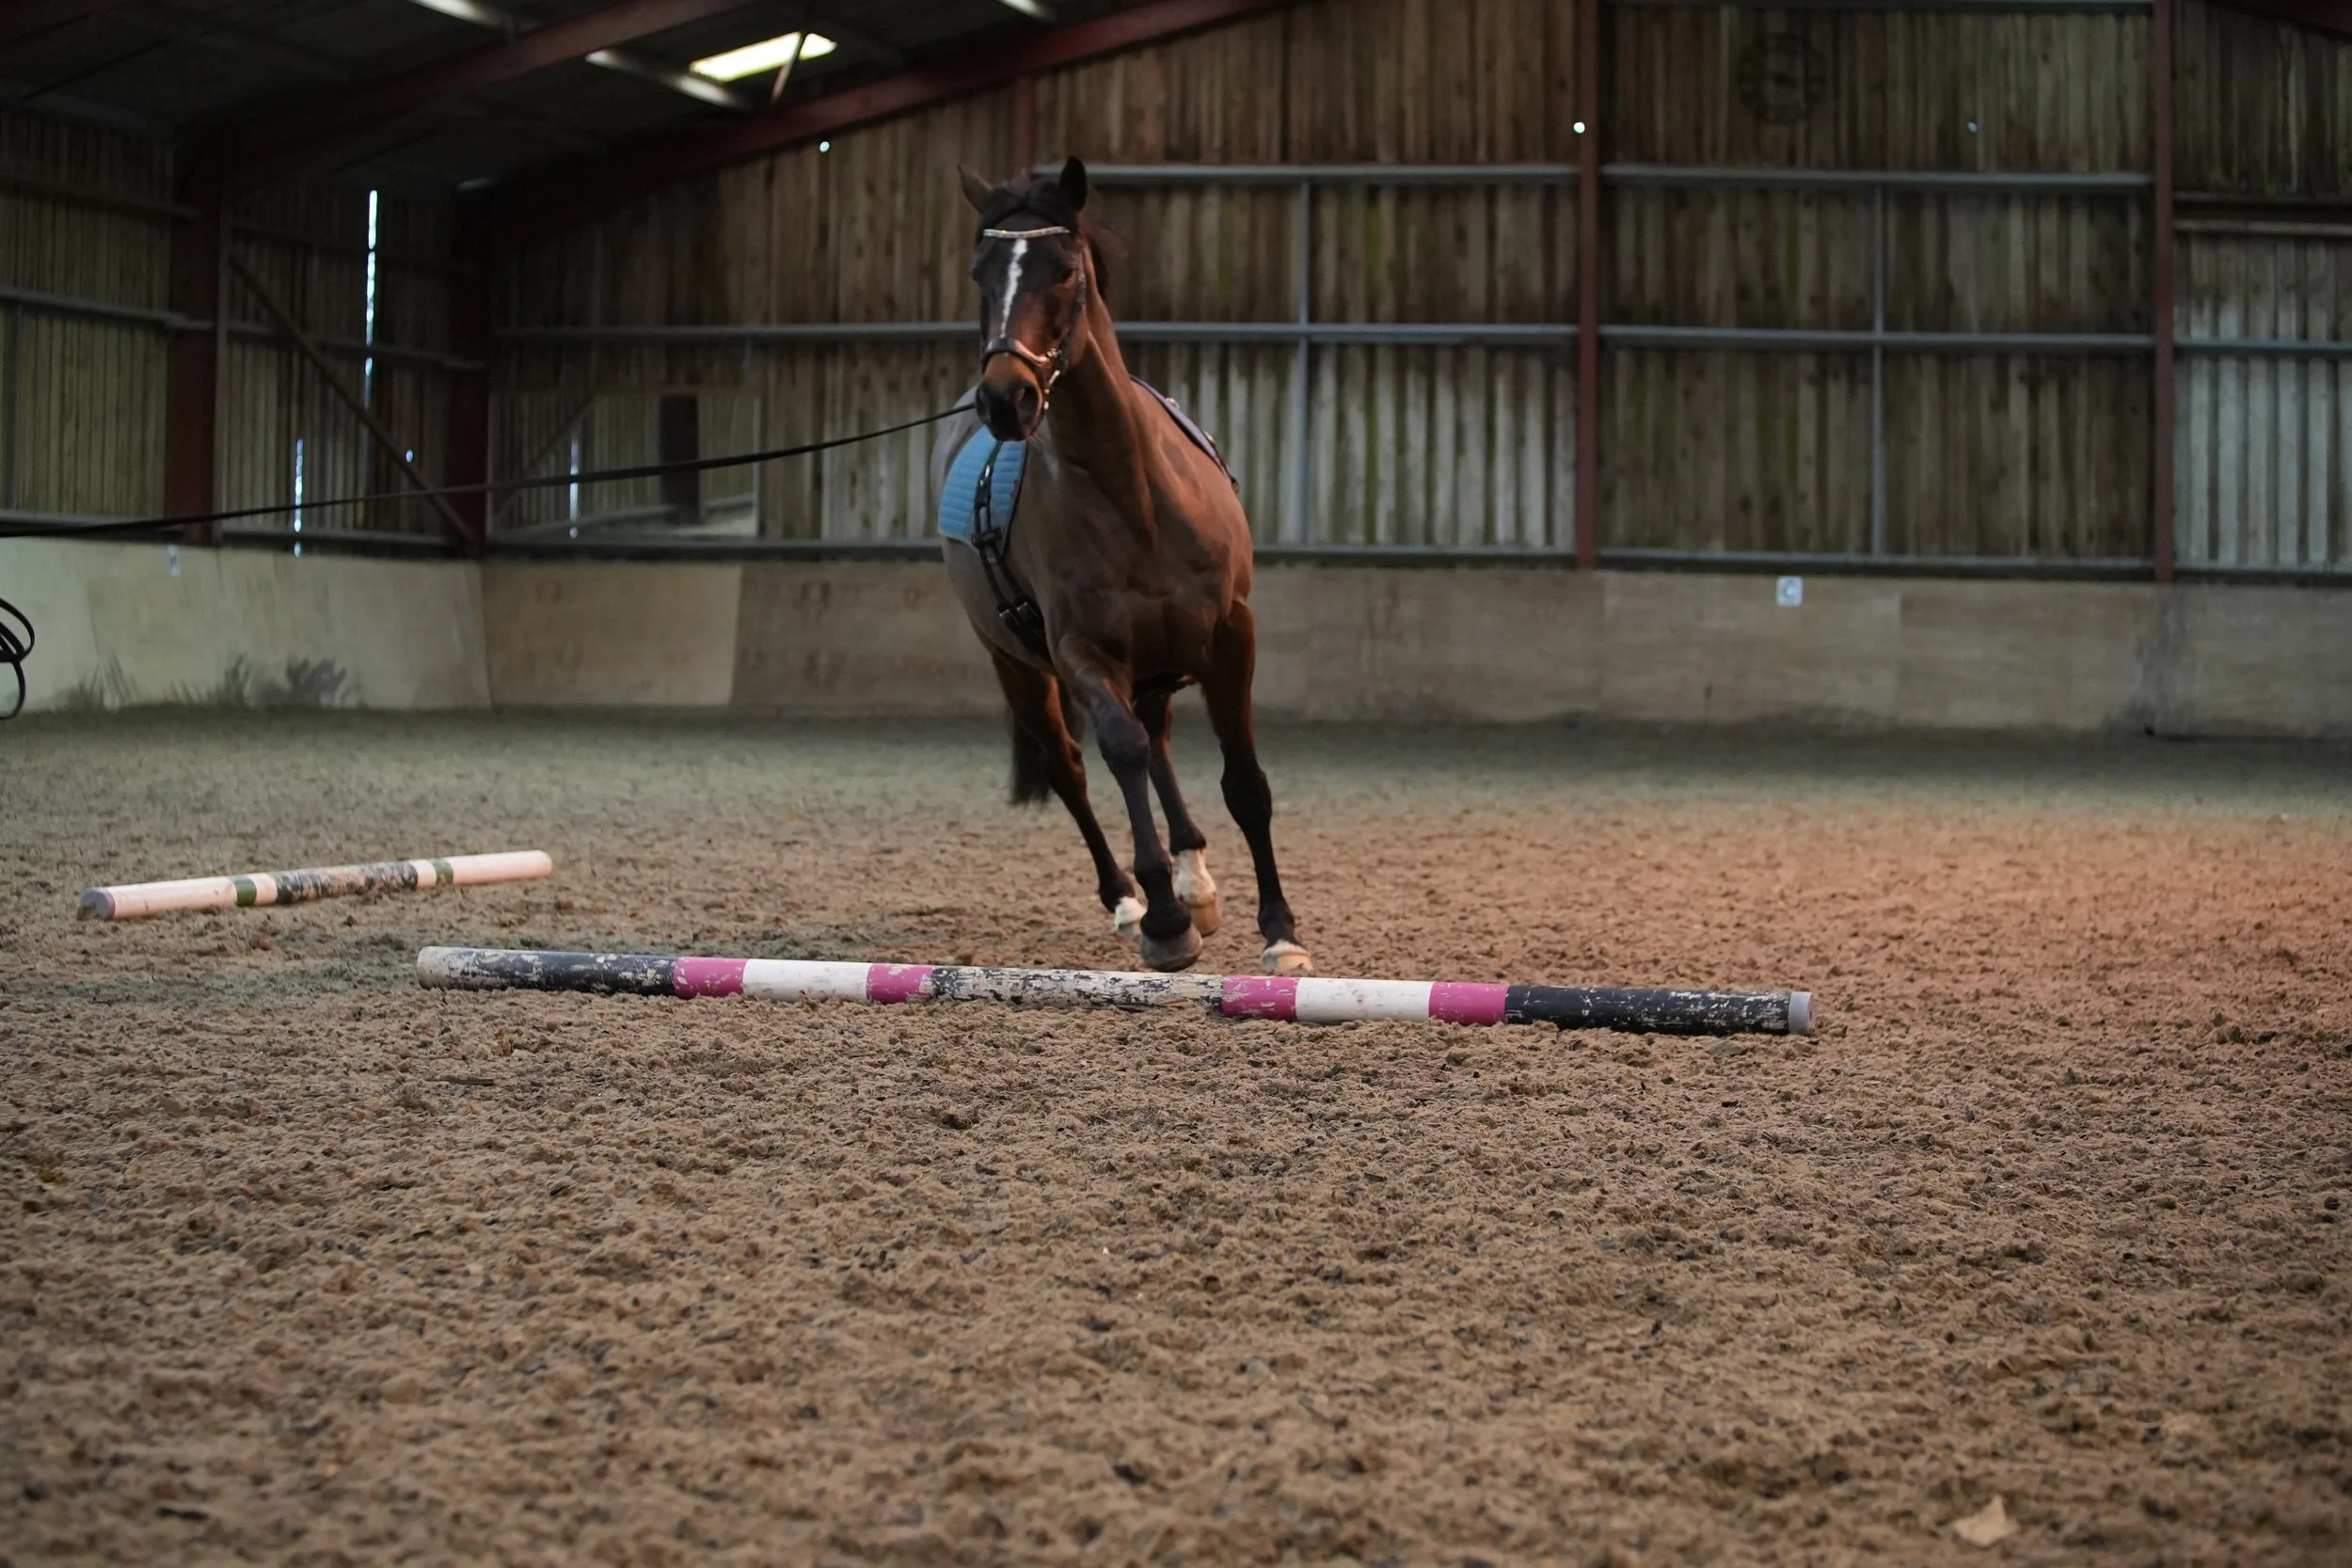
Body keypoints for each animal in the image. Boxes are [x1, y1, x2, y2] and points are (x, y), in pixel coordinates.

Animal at [930, 157, 1312, 978]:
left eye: (1066, 270)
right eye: (980, 273)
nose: (1006, 399)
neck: (1133, 490)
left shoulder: (1231, 635)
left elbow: (1245, 782)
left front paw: (1280, 932)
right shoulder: (1082, 652)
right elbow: (1120, 751)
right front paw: (1164, 921)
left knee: (1160, 737)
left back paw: (1198, 877)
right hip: (1018, 667)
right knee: (1075, 766)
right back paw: (1130, 900)